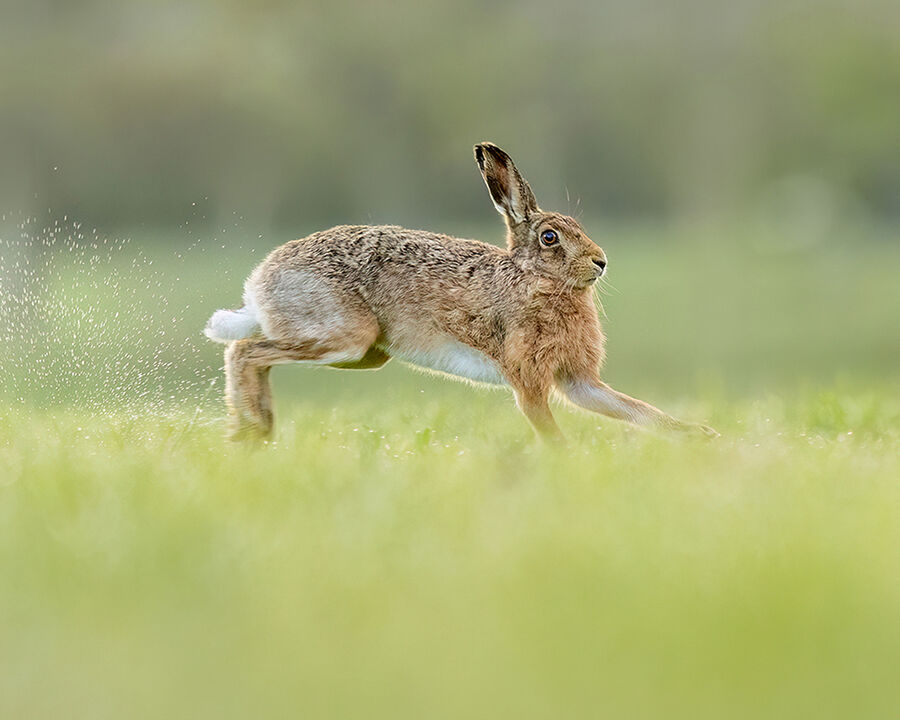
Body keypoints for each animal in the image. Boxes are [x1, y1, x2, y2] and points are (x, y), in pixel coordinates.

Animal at [204, 142, 717, 442]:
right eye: (550, 237)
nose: (601, 261)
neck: (534, 279)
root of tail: (259, 284)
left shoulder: (578, 381)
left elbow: (636, 410)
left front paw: (699, 434)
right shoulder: (528, 381)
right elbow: (548, 427)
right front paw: (565, 463)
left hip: (365, 354)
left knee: (249, 352)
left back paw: (253, 430)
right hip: (343, 334)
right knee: (245, 351)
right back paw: (253, 429)